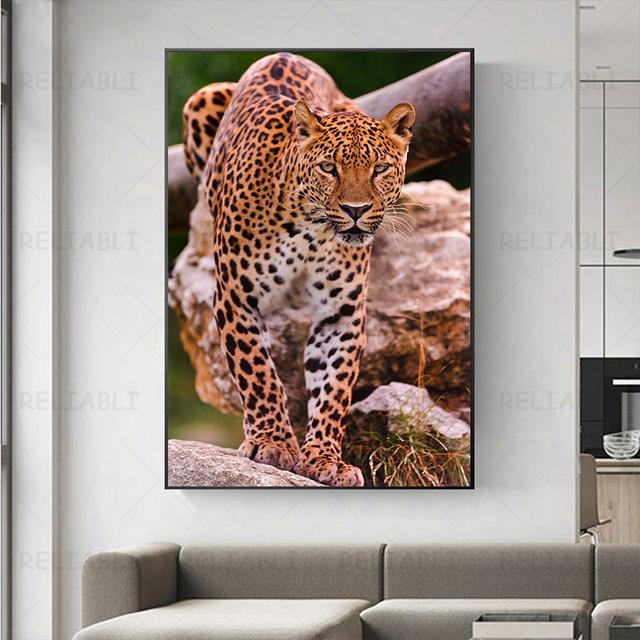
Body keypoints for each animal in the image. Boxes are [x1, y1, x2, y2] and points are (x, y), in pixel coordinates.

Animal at [182, 52, 415, 486]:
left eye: (379, 168)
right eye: (328, 167)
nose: (355, 210)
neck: (312, 229)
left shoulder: (340, 315)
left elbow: (333, 387)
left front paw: (325, 458)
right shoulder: (236, 297)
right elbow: (257, 372)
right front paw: (272, 443)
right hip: (200, 103)